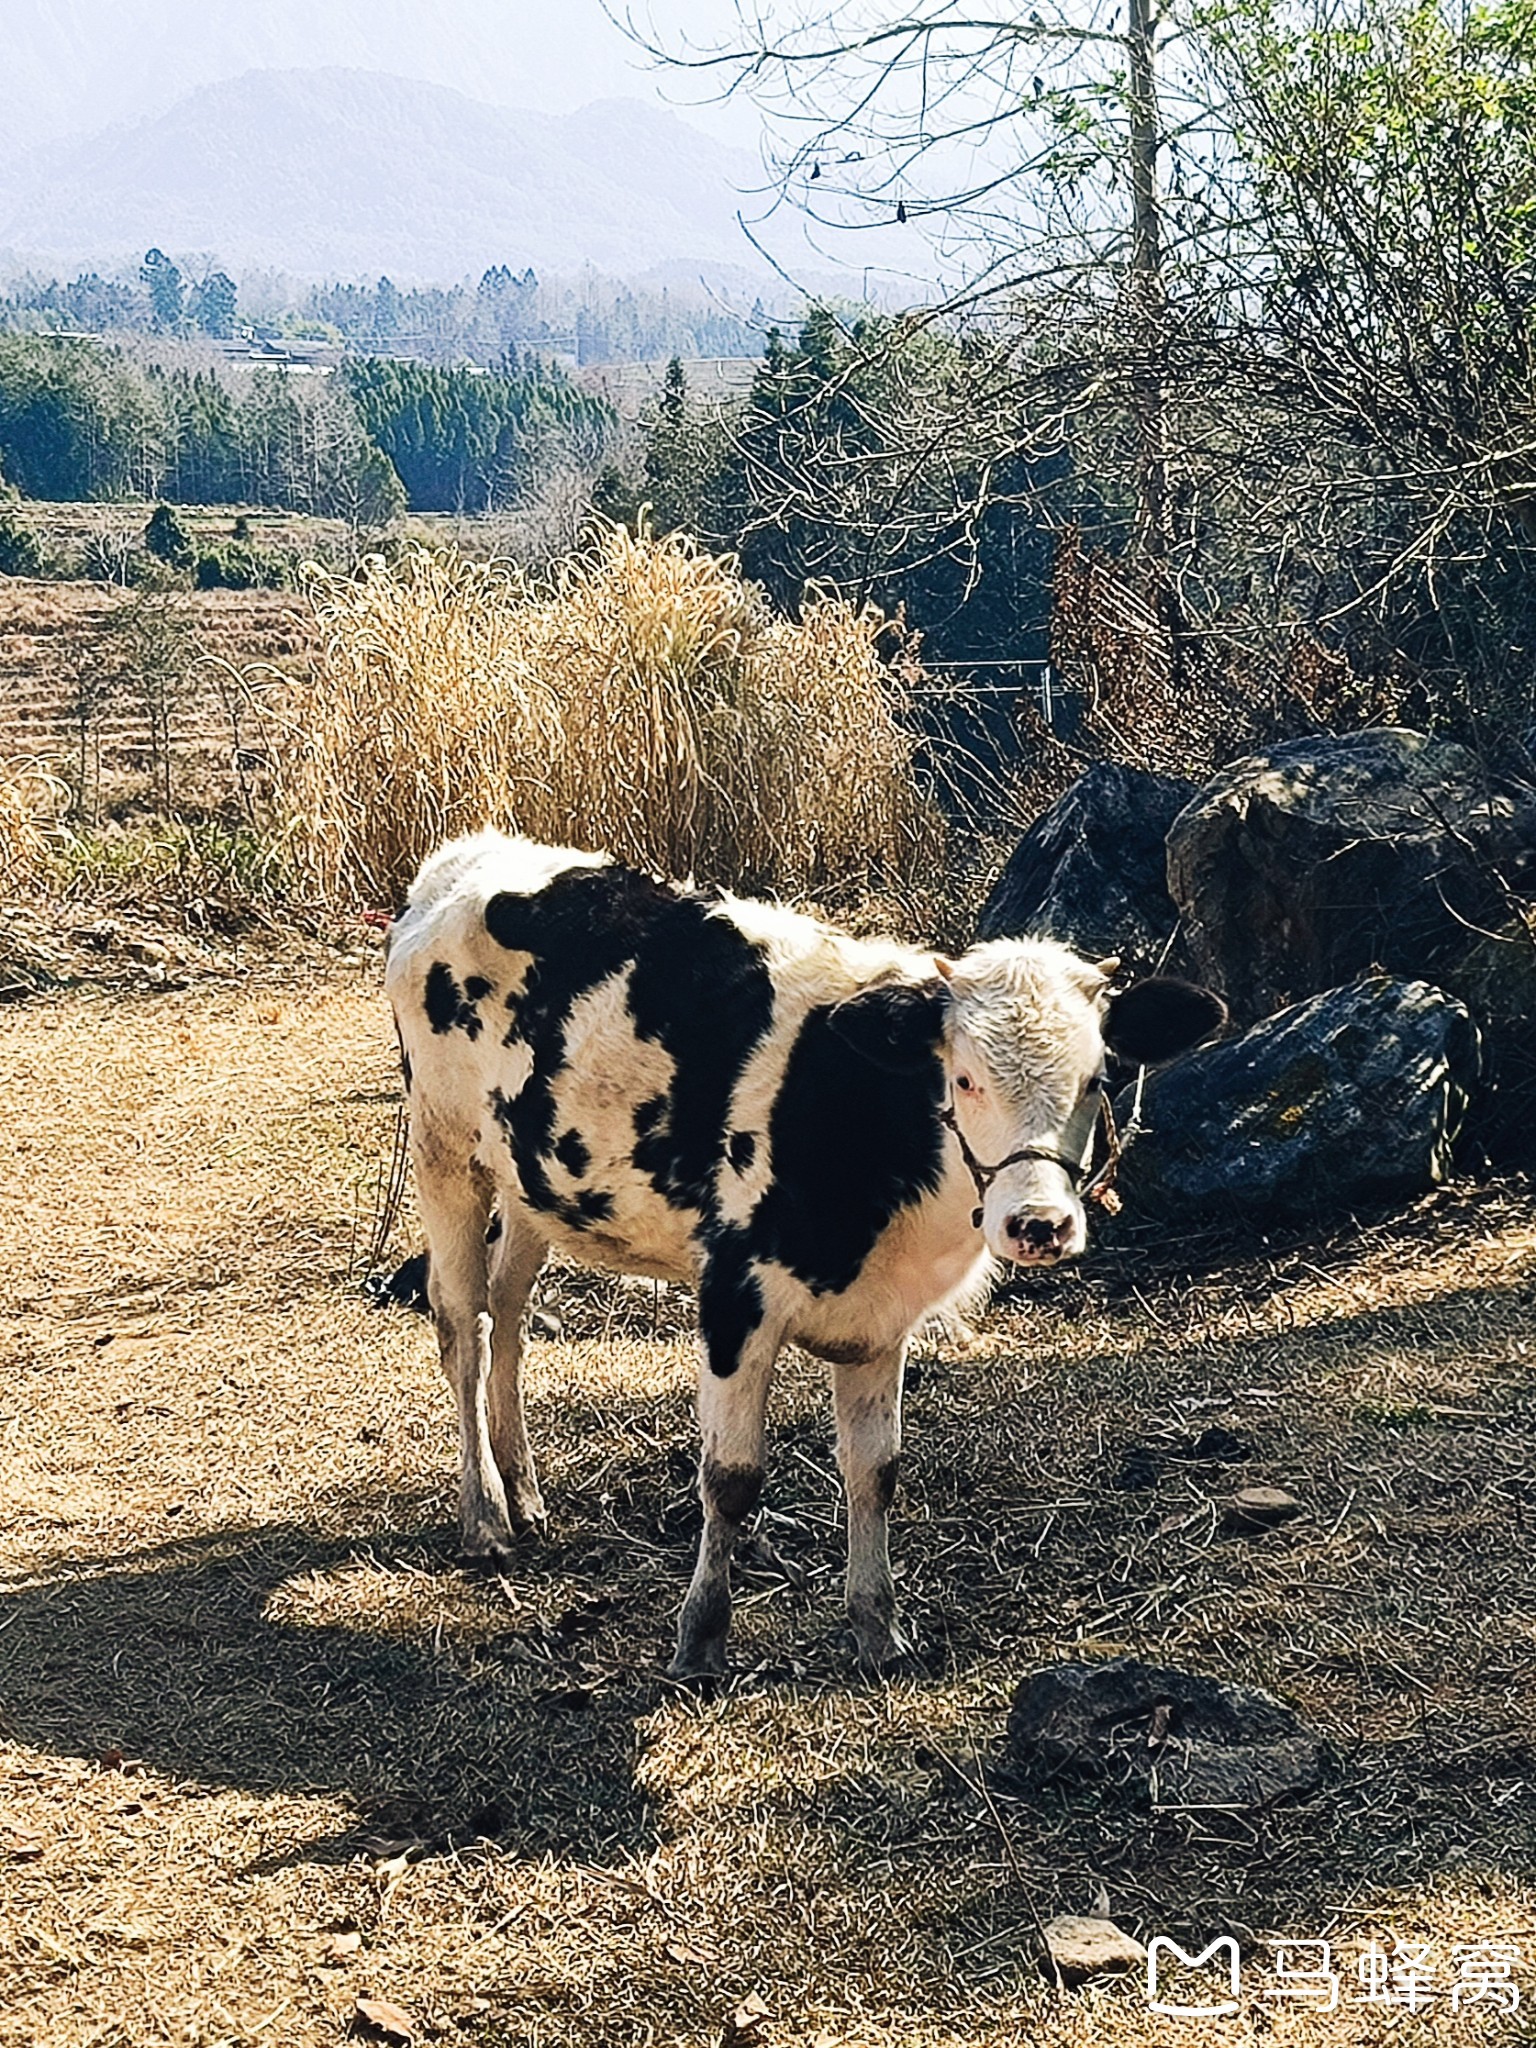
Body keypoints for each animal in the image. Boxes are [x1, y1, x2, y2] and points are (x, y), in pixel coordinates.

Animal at [387, 835, 1228, 1679]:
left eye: (1099, 1078)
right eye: (962, 1078)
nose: (1038, 1224)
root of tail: (470, 855)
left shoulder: (883, 1319)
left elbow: (875, 1471)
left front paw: (877, 1630)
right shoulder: (733, 1301)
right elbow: (730, 1478)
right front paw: (700, 1640)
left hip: (527, 1181)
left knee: (508, 1316)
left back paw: (525, 1493)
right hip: (443, 1152)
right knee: (464, 1327)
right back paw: (486, 1516)